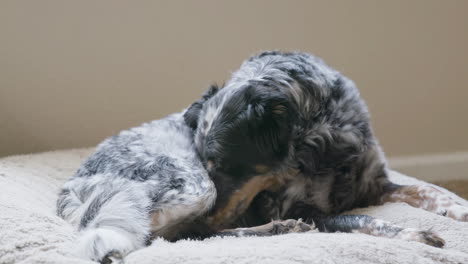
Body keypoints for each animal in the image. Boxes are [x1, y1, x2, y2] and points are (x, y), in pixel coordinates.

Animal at [183, 51, 468, 248]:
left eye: (225, 165)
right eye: (206, 165)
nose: (204, 217)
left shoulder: (372, 185)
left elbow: (426, 188)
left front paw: (458, 209)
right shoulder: (302, 210)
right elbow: (361, 220)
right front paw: (414, 233)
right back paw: (282, 228)